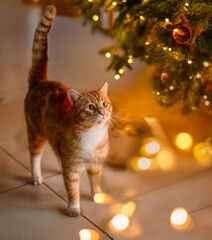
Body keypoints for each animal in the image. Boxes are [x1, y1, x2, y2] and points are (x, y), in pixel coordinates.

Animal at [24, 5, 112, 218]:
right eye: (91, 107)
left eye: (104, 104)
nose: (103, 113)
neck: (92, 136)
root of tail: (40, 81)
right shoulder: (71, 171)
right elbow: (72, 190)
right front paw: (74, 208)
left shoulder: (96, 165)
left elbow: (95, 181)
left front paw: (97, 195)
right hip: (35, 133)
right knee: (34, 155)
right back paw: (36, 176)